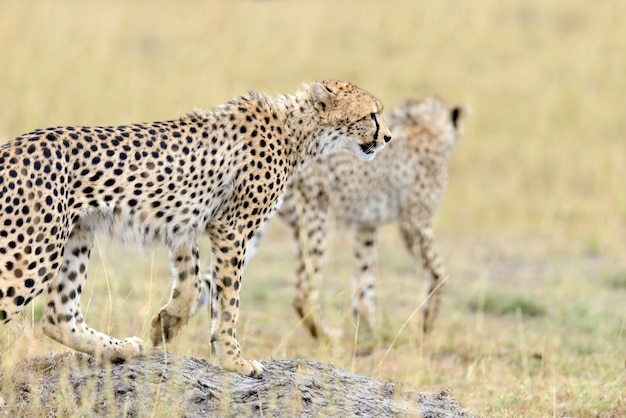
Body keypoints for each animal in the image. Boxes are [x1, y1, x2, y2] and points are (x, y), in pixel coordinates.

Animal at [0, 79, 390, 378]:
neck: (297, 131)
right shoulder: (232, 227)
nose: (387, 137)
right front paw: (235, 361)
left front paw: (166, 324)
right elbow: (229, 301)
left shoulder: (185, 222)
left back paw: (120, 348)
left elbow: (191, 283)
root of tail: (11, 146)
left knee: (58, 316)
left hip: (76, 235)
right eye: (371, 114)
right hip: (33, 252)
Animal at [241, 96, 466, 342]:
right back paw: (329, 336)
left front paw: (371, 331)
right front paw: (427, 325)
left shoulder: (366, 226)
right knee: (304, 293)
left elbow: (364, 282)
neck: (425, 125)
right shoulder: (414, 222)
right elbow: (439, 272)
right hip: (314, 214)